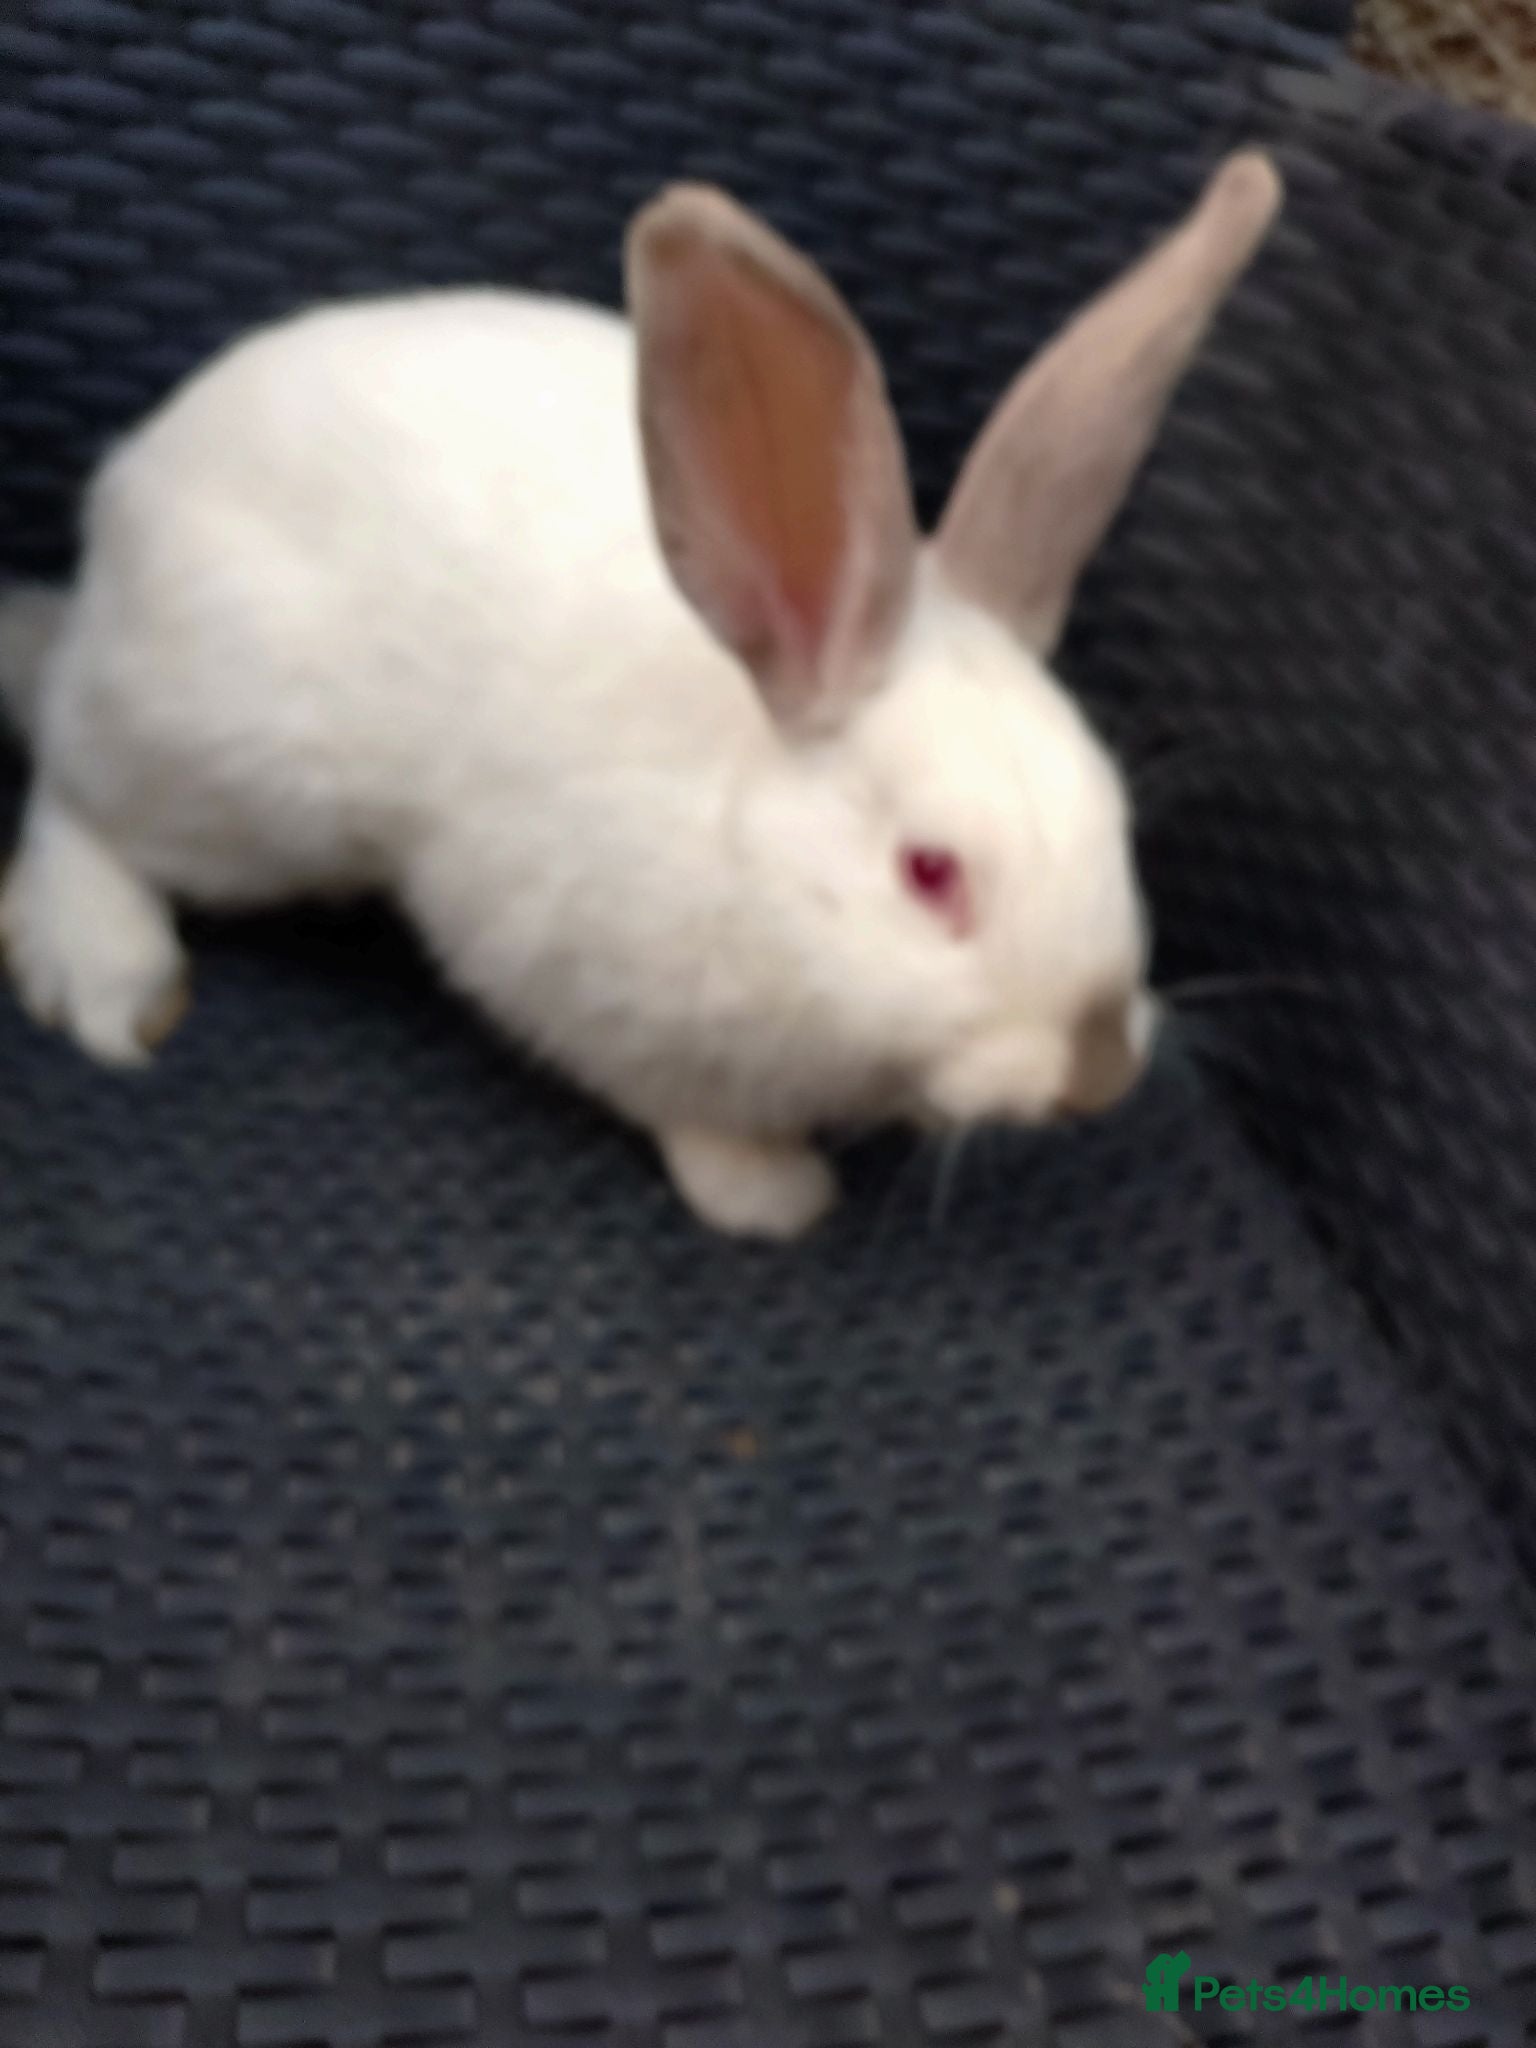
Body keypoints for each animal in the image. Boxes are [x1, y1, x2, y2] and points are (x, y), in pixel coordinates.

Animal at [0, 153, 1281, 1237]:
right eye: (929, 873)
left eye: (1117, 824)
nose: (1099, 1071)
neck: (748, 837)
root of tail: (121, 515)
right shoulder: (582, 977)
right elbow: (683, 1108)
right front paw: (771, 1194)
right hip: (231, 767)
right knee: (78, 787)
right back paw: (102, 969)